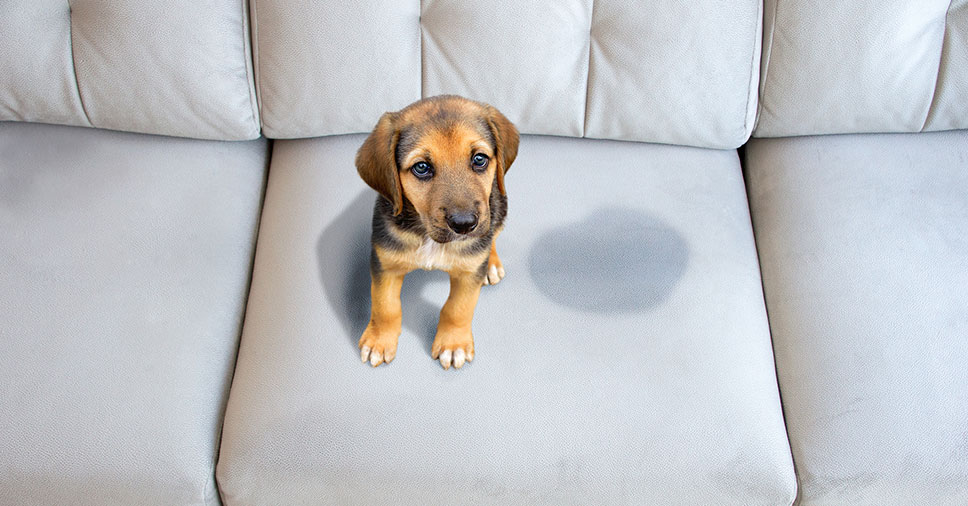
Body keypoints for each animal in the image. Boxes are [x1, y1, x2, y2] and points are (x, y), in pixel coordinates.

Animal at [356, 95, 520, 370]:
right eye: (421, 167)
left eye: (479, 159)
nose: (464, 224)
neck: (429, 237)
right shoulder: (385, 263)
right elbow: (384, 306)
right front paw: (379, 340)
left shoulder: (468, 273)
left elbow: (458, 308)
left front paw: (453, 345)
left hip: (499, 205)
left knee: (493, 234)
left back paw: (491, 264)